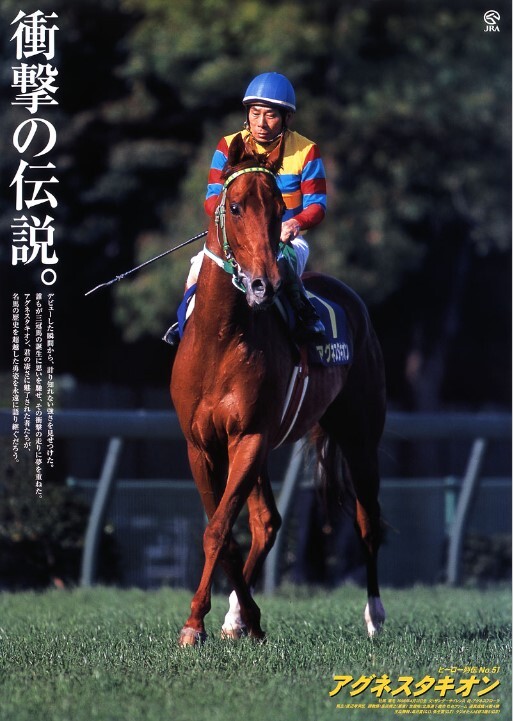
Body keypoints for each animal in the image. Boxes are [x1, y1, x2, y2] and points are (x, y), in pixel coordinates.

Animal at [170, 133, 386, 646]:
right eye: (234, 206)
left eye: (276, 210)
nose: (263, 283)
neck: (220, 338)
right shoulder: (201, 444)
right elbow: (224, 530)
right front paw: (234, 618)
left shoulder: (248, 437)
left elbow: (218, 529)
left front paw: (197, 623)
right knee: (267, 521)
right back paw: (236, 617)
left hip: (360, 435)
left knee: (367, 521)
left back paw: (374, 615)